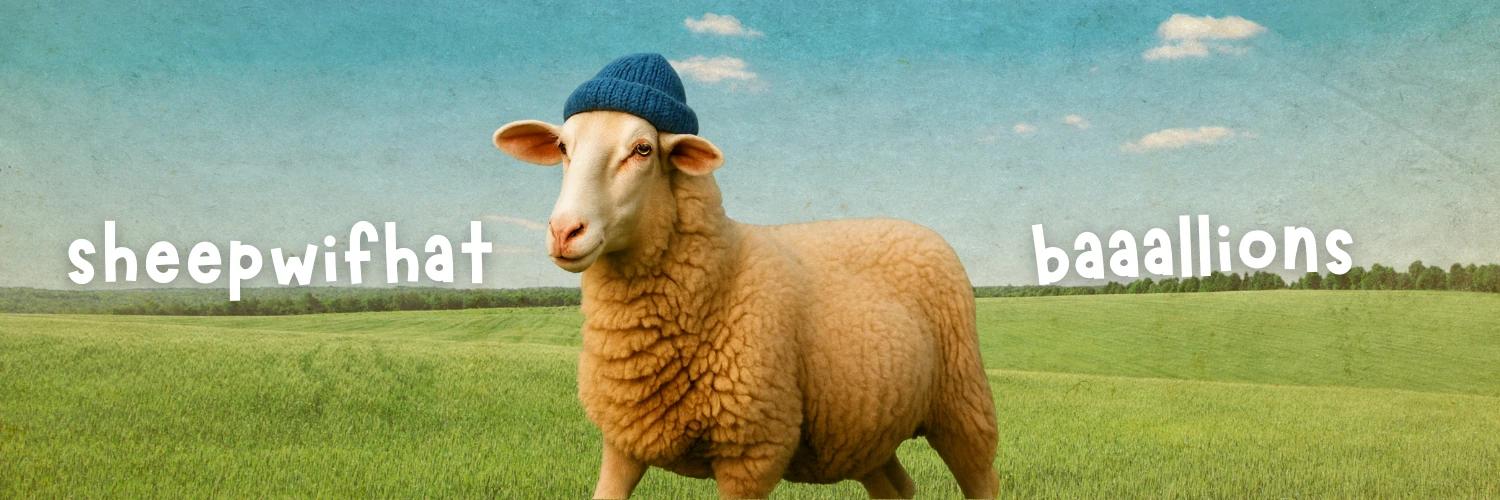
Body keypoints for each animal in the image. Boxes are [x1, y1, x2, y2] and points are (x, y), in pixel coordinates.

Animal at [491, 54, 998, 499]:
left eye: (643, 149)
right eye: (563, 147)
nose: (564, 231)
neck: (723, 274)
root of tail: (918, 227)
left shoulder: (751, 454)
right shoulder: (624, 440)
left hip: (962, 405)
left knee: (981, 479)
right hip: (865, 428)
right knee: (897, 487)